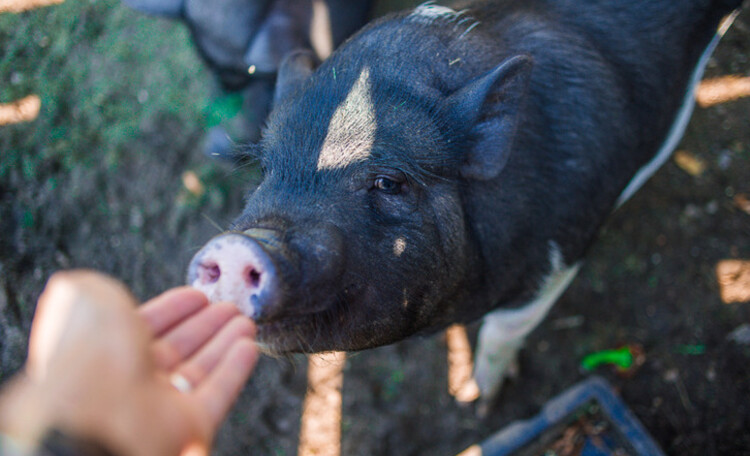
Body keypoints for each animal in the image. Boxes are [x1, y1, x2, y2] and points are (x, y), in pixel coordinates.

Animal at [188, 0, 748, 400]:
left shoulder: (558, 260)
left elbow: (502, 334)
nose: (239, 246)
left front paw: (479, 400)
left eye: (389, 182)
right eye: (266, 170)